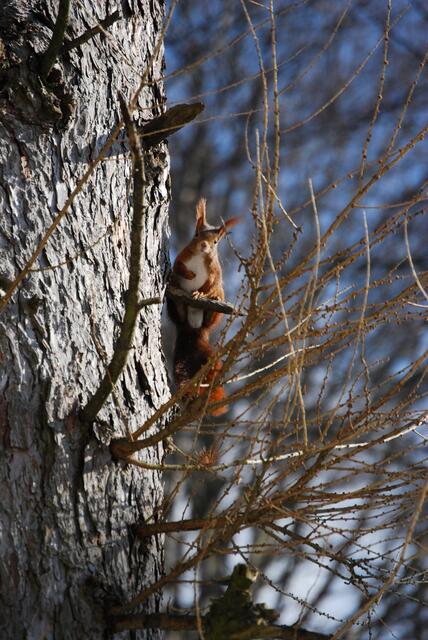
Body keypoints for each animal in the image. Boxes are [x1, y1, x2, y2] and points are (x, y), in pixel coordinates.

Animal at [168, 197, 240, 416]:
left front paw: (201, 293)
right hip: (177, 312)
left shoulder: (215, 271)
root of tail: (193, 329)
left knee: (211, 315)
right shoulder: (181, 257)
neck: (200, 258)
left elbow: (211, 283)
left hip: (215, 312)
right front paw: (188, 275)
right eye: (197, 234)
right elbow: (177, 266)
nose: (203, 246)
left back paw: (212, 302)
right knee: (179, 313)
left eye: (216, 242)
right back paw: (178, 296)